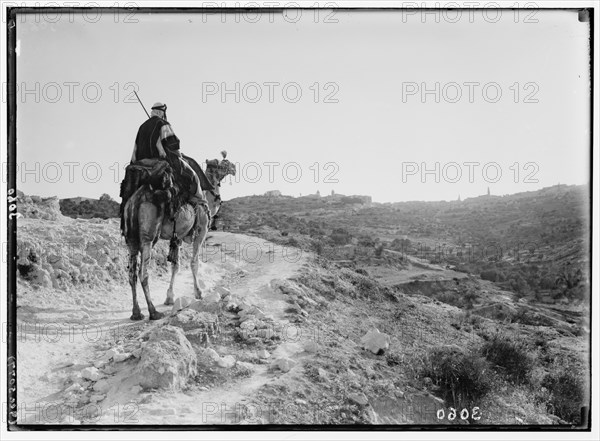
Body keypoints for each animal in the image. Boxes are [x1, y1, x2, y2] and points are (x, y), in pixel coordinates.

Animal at [122, 151, 237, 320]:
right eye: (223, 163)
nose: (234, 168)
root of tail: (135, 200)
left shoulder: (178, 236)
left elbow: (175, 265)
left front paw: (169, 298)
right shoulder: (201, 230)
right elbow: (194, 262)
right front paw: (198, 293)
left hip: (130, 237)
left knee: (132, 274)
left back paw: (136, 313)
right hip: (148, 235)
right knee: (143, 273)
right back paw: (153, 312)